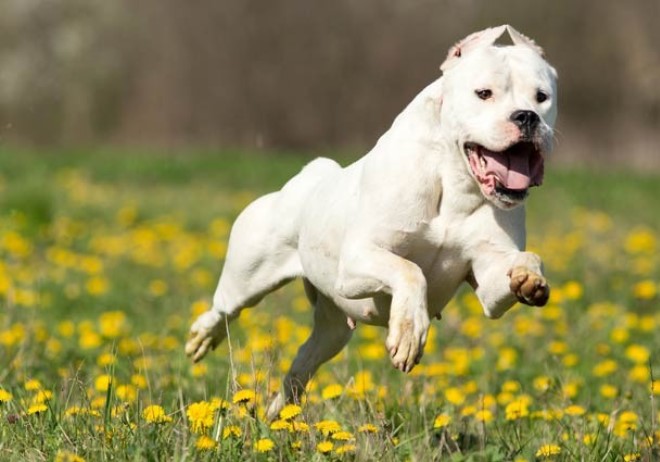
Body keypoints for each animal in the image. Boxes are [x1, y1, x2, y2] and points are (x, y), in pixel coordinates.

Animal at [184, 25, 556, 418]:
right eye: (483, 93)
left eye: (542, 97)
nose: (527, 116)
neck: (455, 181)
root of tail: (307, 177)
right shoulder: (357, 260)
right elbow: (410, 271)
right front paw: (409, 333)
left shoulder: (488, 283)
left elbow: (520, 264)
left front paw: (529, 278)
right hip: (248, 278)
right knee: (224, 309)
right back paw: (202, 338)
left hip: (333, 330)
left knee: (303, 362)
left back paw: (280, 414)